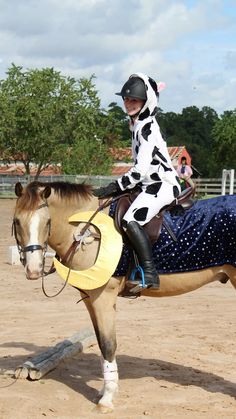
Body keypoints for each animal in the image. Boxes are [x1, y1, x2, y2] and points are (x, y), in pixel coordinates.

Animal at [12, 181, 236, 414]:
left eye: (47, 222)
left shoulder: (103, 297)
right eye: (17, 221)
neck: (87, 229)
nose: (33, 270)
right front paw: (104, 391)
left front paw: (107, 399)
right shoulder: (90, 299)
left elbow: (109, 344)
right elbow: (101, 343)